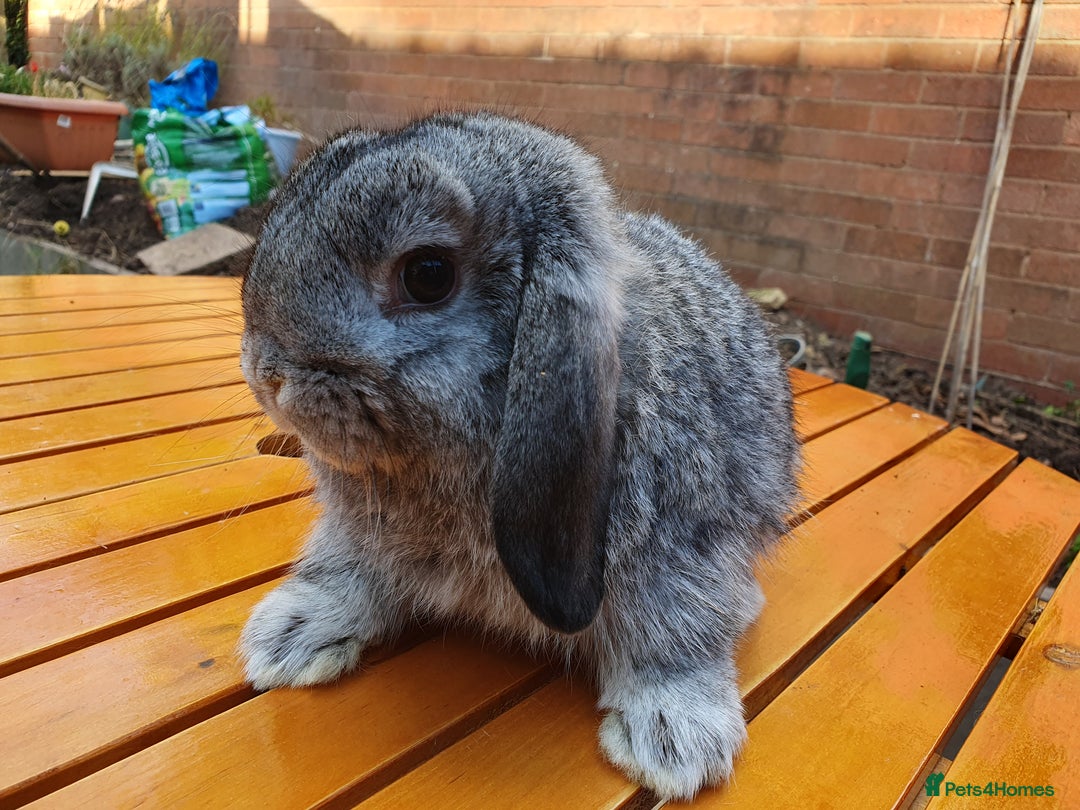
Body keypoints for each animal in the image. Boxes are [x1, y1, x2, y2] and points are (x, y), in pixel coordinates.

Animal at [238, 111, 800, 801]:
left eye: (427, 274)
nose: (266, 374)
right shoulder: (361, 535)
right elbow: (351, 572)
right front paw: (289, 635)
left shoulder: (679, 558)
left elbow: (670, 638)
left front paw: (675, 741)